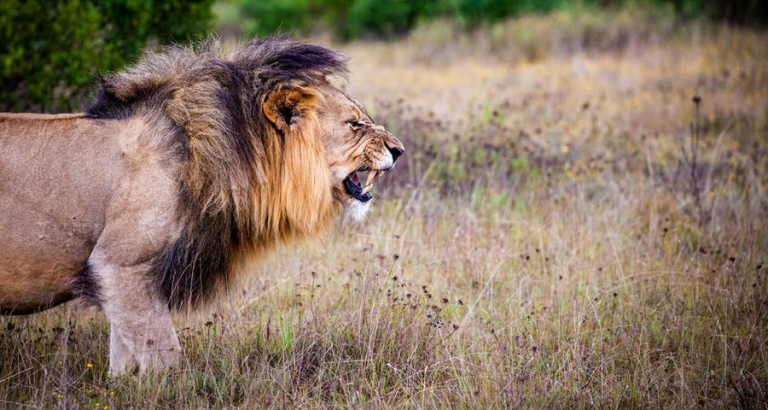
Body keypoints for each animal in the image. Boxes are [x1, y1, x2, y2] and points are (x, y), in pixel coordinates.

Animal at [0, 37, 404, 374]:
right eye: (354, 124)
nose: (399, 150)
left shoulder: (123, 281)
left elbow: (125, 360)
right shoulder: (118, 264)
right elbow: (164, 356)